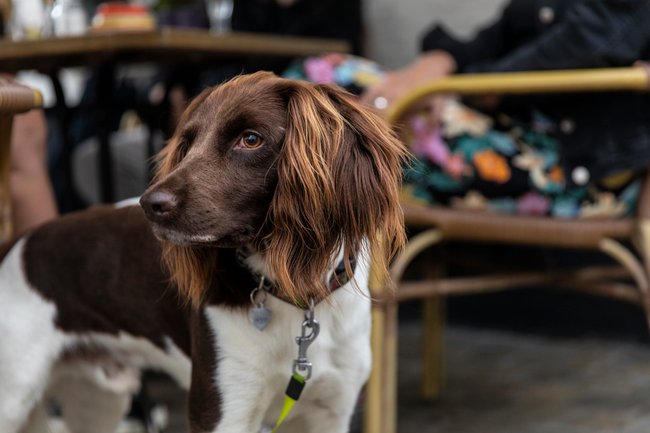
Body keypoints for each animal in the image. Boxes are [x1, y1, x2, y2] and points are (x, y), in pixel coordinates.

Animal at [0, 71, 404, 432]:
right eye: (188, 142)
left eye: (251, 139)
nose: (150, 205)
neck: (296, 294)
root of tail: (17, 243)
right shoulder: (222, 409)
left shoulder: (331, 411)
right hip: (16, 396)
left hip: (98, 401)